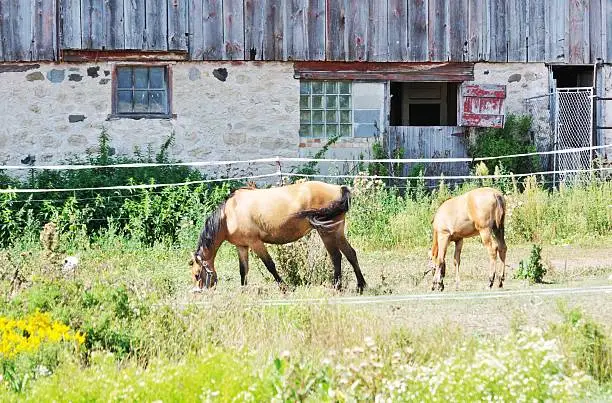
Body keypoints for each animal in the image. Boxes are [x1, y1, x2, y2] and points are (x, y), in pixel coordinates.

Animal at [189, 182, 366, 294]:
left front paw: (284, 288)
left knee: (336, 257)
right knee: (350, 254)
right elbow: (243, 270)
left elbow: (270, 266)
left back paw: (337, 287)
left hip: (327, 233)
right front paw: (244, 290)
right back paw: (361, 286)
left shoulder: (256, 243)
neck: (229, 215)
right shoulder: (242, 246)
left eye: (197, 274)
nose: (198, 292)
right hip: (337, 232)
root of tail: (339, 188)